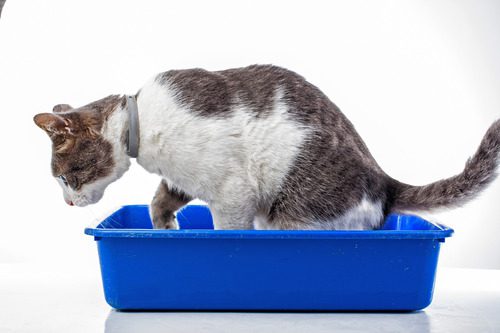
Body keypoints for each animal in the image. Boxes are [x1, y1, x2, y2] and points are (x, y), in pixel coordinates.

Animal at [33, 65, 498, 231]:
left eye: (67, 177)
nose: (68, 204)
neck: (142, 123)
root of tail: (386, 183)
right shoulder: (185, 178)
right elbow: (158, 202)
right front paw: (166, 228)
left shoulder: (231, 190)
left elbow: (228, 232)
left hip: (294, 214)